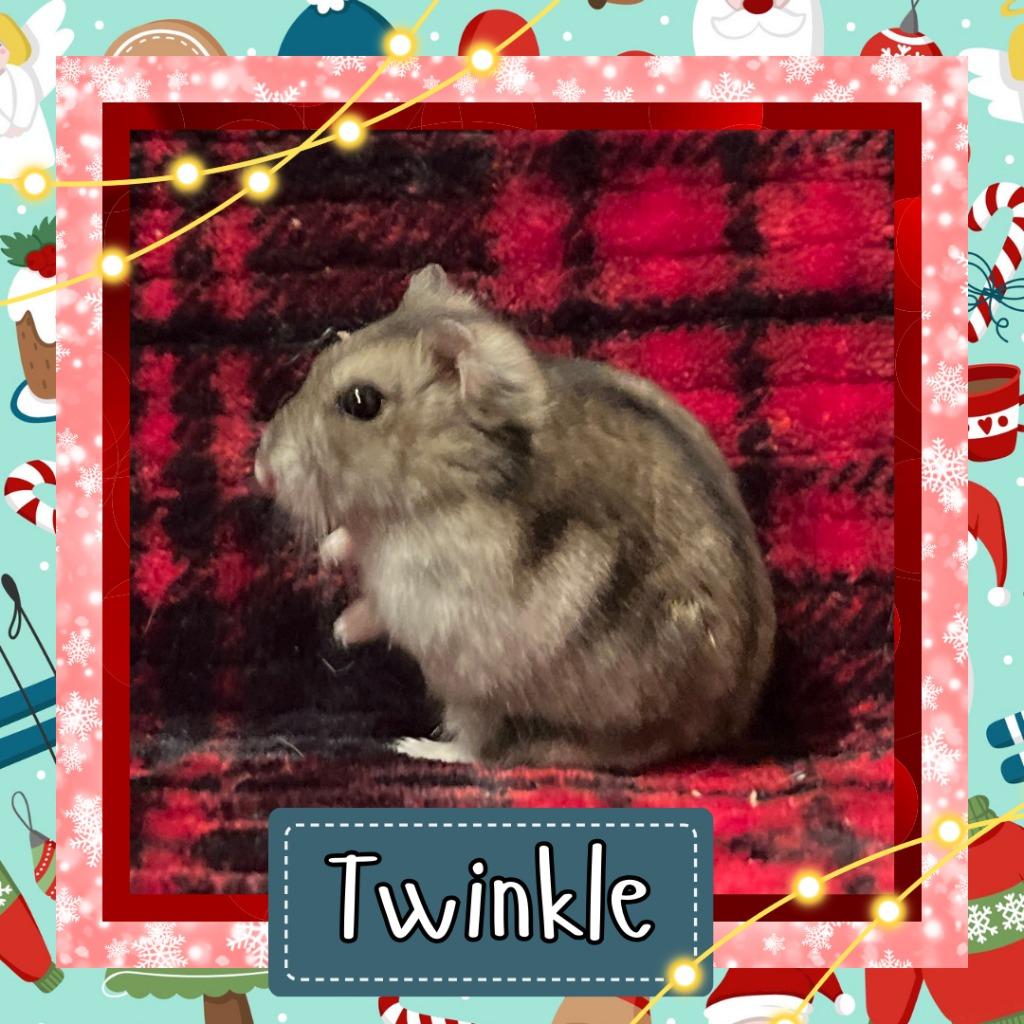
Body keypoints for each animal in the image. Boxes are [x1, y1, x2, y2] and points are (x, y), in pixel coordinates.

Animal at [255, 265, 775, 771]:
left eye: (361, 402)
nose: (261, 472)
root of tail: (721, 728)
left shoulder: (424, 587)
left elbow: (380, 607)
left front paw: (341, 631)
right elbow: (353, 536)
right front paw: (330, 552)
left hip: (481, 694)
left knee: (479, 748)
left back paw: (413, 747)